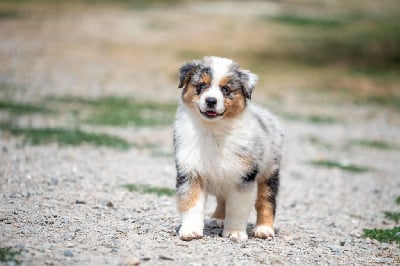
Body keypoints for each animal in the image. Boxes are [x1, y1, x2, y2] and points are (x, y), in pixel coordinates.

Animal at [173, 57, 282, 242]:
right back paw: (217, 219)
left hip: (269, 171)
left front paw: (235, 233)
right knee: (222, 199)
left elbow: (238, 209)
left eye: (226, 89)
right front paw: (190, 231)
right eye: (201, 85)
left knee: (266, 201)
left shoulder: (243, 176)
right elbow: (192, 203)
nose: (211, 101)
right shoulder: (191, 171)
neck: (213, 130)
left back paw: (264, 229)